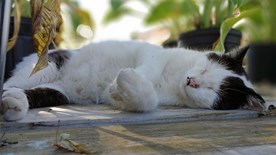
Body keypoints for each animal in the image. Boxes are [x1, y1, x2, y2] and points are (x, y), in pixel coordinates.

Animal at [1, 40, 266, 121]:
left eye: (214, 91)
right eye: (205, 68)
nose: (191, 81)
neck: (174, 81)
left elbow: (145, 101)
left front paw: (123, 88)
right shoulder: (152, 55)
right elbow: (149, 67)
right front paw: (118, 82)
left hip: (58, 90)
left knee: (28, 92)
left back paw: (14, 103)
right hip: (47, 67)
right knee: (10, 84)